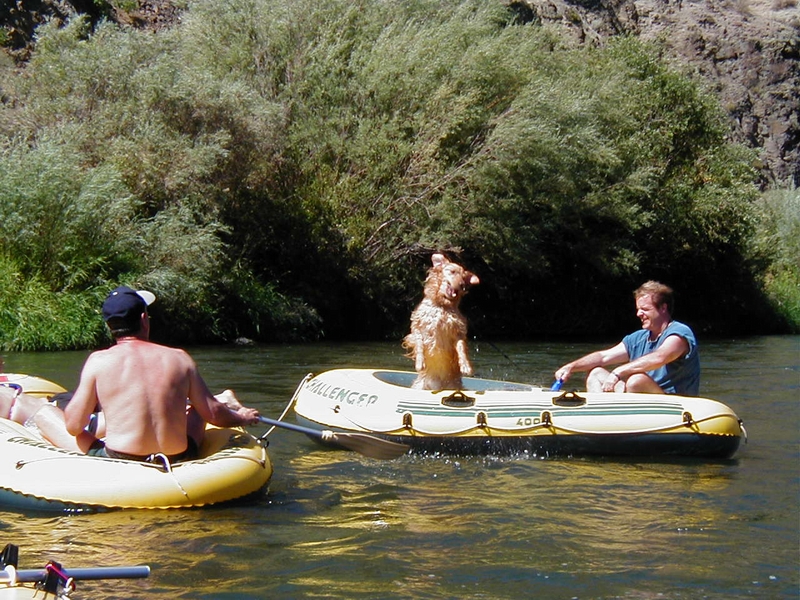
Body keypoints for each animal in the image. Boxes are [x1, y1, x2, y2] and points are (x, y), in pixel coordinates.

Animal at [403, 253, 480, 390]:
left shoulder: (458, 331)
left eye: (463, 277)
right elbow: (419, 342)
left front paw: (465, 365)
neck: (442, 305)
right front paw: (420, 362)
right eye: (452, 271)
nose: (462, 285)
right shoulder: (417, 327)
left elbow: (461, 348)